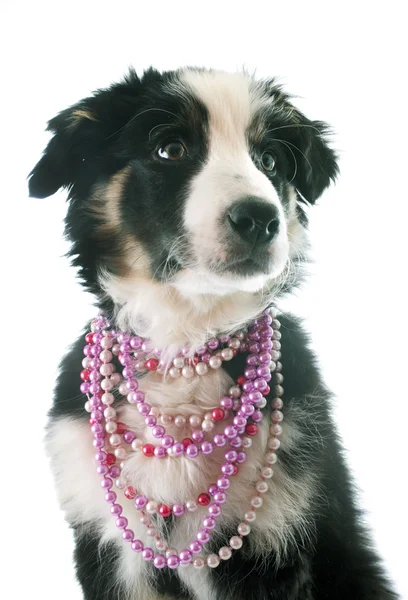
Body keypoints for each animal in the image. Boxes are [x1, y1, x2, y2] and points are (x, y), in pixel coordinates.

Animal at [28, 67, 398, 600]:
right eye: (170, 149)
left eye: (269, 160)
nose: (260, 219)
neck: (185, 341)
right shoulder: (111, 551)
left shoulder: (276, 541)